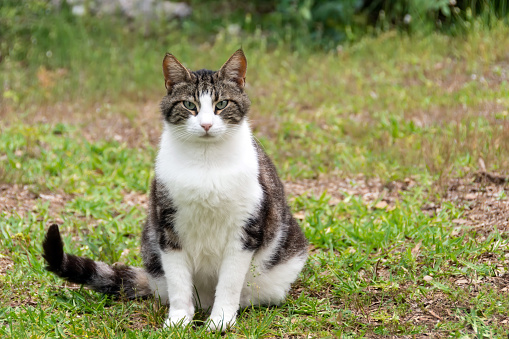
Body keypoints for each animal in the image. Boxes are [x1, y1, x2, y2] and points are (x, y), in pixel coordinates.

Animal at [43, 50, 308, 332]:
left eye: (222, 104)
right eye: (190, 105)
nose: (206, 125)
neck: (206, 161)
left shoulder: (244, 232)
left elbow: (229, 283)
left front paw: (220, 320)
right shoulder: (168, 228)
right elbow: (179, 282)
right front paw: (178, 320)